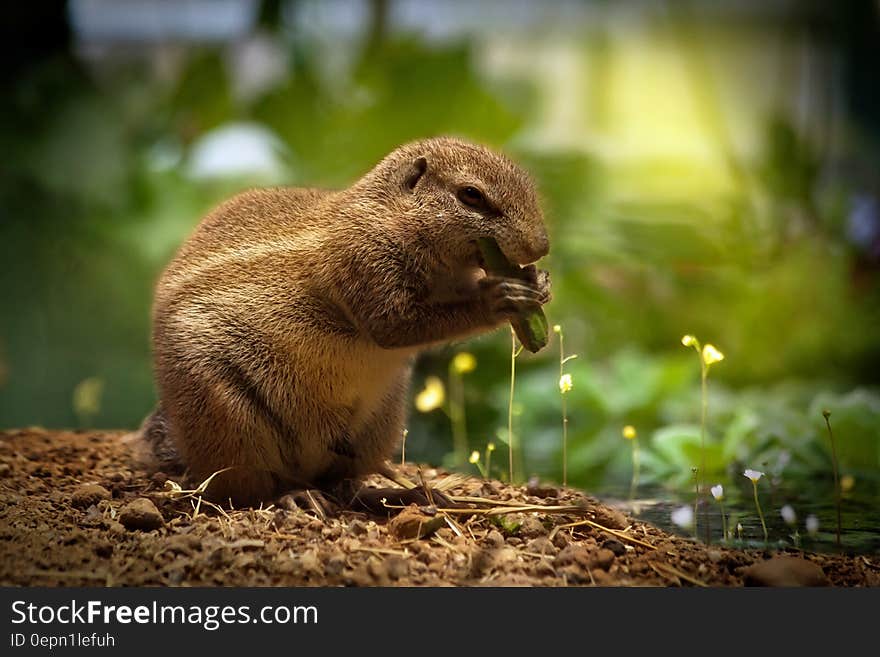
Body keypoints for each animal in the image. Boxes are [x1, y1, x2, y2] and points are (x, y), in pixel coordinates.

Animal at [138, 135, 552, 502]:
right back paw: (294, 497)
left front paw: (537, 282)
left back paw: (400, 493)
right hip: (229, 417)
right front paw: (499, 298)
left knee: (341, 482)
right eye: (471, 195)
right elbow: (396, 326)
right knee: (251, 490)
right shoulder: (361, 262)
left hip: (379, 424)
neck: (391, 218)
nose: (541, 247)